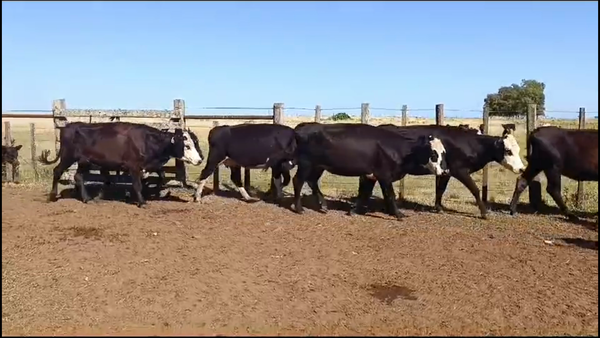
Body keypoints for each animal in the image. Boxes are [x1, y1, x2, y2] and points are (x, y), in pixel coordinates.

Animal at [39, 121, 205, 206]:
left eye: (195, 143)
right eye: (187, 145)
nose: (200, 160)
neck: (146, 140)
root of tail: (67, 127)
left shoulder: (151, 166)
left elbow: (162, 176)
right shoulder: (133, 166)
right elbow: (137, 184)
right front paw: (141, 201)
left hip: (84, 162)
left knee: (78, 177)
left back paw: (87, 198)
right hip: (68, 157)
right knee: (57, 171)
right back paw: (52, 196)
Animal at [270, 123, 448, 220]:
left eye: (444, 152)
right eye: (433, 154)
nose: (445, 170)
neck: (399, 149)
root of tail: (302, 128)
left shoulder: (370, 175)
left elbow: (365, 193)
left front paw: (354, 210)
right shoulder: (384, 175)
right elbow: (390, 195)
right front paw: (398, 214)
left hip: (318, 166)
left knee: (312, 181)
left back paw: (324, 205)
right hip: (306, 164)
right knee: (298, 181)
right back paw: (299, 208)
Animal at [356, 125, 524, 219]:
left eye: (518, 150)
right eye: (508, 151)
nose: (521, 168)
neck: (471, 144)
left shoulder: (446, 172)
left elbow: (440, 189)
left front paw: (438, 208)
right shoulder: (460, 171)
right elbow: (475, 190)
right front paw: (484, 213)